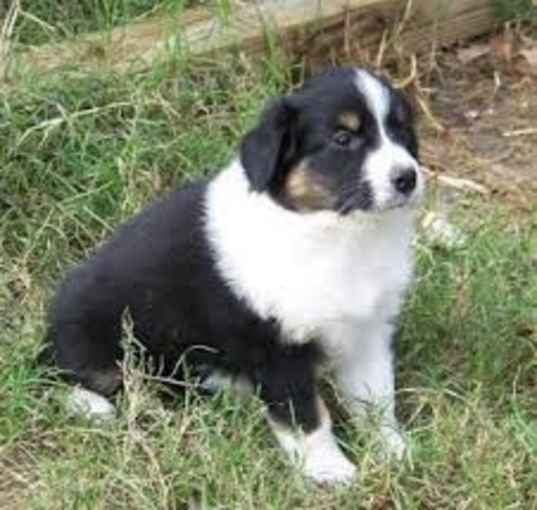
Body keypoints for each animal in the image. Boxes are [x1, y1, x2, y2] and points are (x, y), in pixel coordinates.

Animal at [45, 65, 422, 484]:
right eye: (343, 139)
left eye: (401, 132)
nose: (407, 178)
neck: (338, 231)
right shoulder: (275, 346)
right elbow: (306, 416)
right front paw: (329, 470)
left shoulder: (367, 329)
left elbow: (375, 397)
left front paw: (393, 450)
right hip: (96, 332)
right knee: (61, 373)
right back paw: (92, 405)